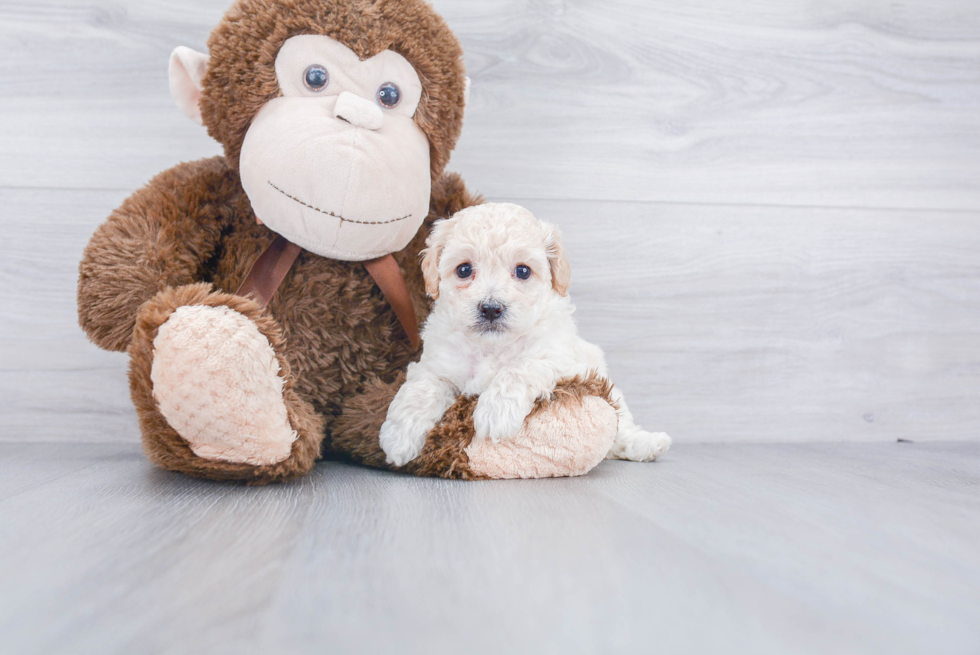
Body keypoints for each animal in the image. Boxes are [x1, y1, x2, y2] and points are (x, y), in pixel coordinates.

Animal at [378, 204, 668, 466]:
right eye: (463, 269)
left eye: (523, 271)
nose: (491, 308)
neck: (491, 347)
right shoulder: (435, 366)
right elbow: (420, 391)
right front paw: (398, 438)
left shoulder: (562, 360)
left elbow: (521, 368)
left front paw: (496, 412)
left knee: (621, 427)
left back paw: (647, 444)